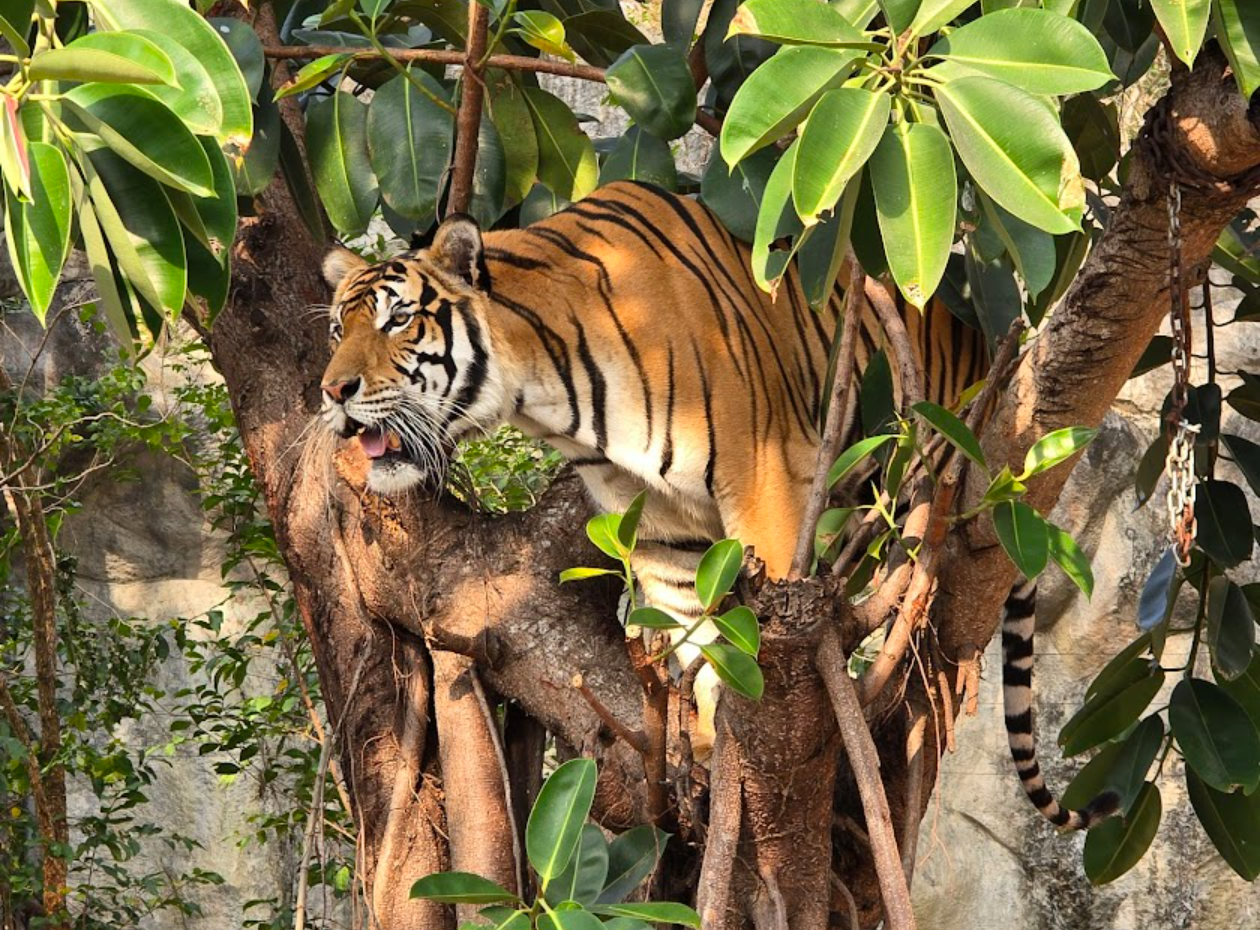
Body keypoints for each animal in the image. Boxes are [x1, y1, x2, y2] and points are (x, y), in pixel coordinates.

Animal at [317, 179, 1116, 831]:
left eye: (397, 321)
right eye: (336, 329)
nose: (332, 390)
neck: (543, 389)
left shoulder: (766, 474)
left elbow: (758, 626)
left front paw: (757, 742)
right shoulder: (658, 529)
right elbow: (695, 636)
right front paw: (704, 745)